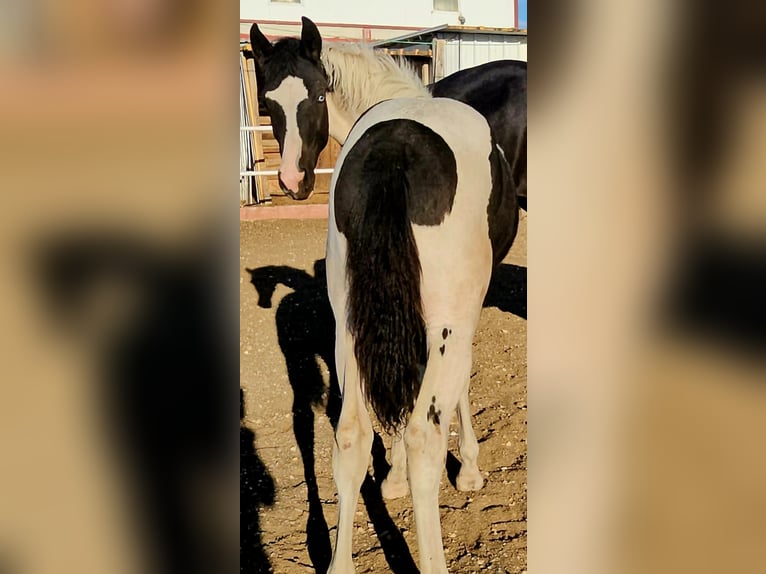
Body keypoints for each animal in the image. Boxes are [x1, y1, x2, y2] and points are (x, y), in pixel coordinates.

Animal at [250, 15, 520, 572]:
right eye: (269, 101)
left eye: (314, 95)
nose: (291, 180)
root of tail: (396, 150)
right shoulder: (459, 321)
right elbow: (456, 394)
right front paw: (469, 470)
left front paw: (390, 478)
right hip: (444, 325)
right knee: (425, 440)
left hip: (349, 326)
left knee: (351, 434)